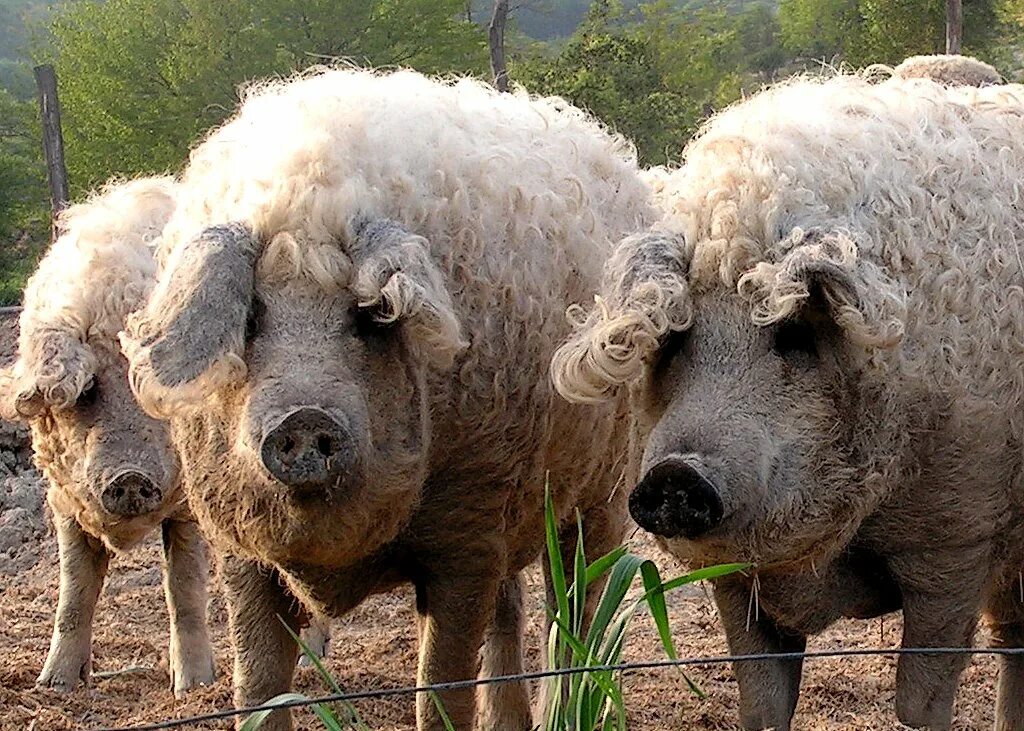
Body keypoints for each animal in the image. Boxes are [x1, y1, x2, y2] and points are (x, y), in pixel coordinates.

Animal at [0, 176, 216, 696]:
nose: (129, 476)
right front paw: (54, 685)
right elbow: (75, 590)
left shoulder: (186, 503)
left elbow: (183, 587)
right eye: (87, 389)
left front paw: (193, 688)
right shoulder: (62, 497)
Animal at [117, 68, 647, 728]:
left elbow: (439, 690)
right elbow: (257, 686)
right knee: (511, 612)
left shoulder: (466, 534)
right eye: (252, 317)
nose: (303, 416)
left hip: (599, 493)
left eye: (368, 315)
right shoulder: (239, 546)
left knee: (575, 613)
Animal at [552, 69, 1024, 728]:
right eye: (673, 338)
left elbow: (921, 700)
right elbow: (763, 700)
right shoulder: (734, 579)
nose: (676, 473)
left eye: (794, 333)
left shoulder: (957, 538)